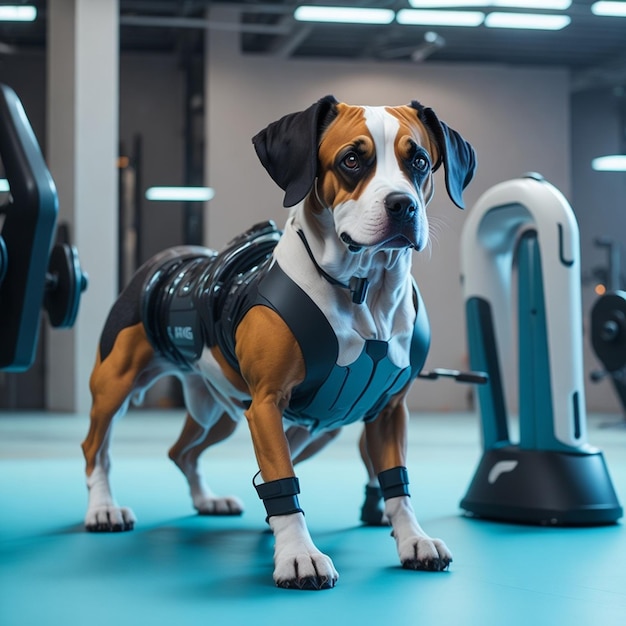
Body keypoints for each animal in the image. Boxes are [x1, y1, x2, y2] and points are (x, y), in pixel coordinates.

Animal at [81, 95, 472, 588]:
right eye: (351, 160)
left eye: (418, 162)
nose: (402, 205)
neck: (364, 289)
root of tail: (169, 258)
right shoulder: (266, 404)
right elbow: (282, 482)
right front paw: (298, 555)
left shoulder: (387, 411)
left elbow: (396, 482)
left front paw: (413, 539)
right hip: (115, 385)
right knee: (96, 449)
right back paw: (103, 508)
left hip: (230, 416)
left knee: (183, 451)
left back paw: (206, 499)